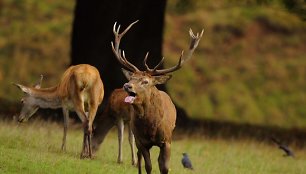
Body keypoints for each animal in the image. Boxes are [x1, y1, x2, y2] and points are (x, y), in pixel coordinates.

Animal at [110, 21, 203, 173]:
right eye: (131, 77)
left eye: (145, 81)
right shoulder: (142, 141)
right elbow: (148, 166)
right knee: (139, 158)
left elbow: (164, 167)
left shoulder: (167, 141)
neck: (151, 126)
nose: (127, 85)